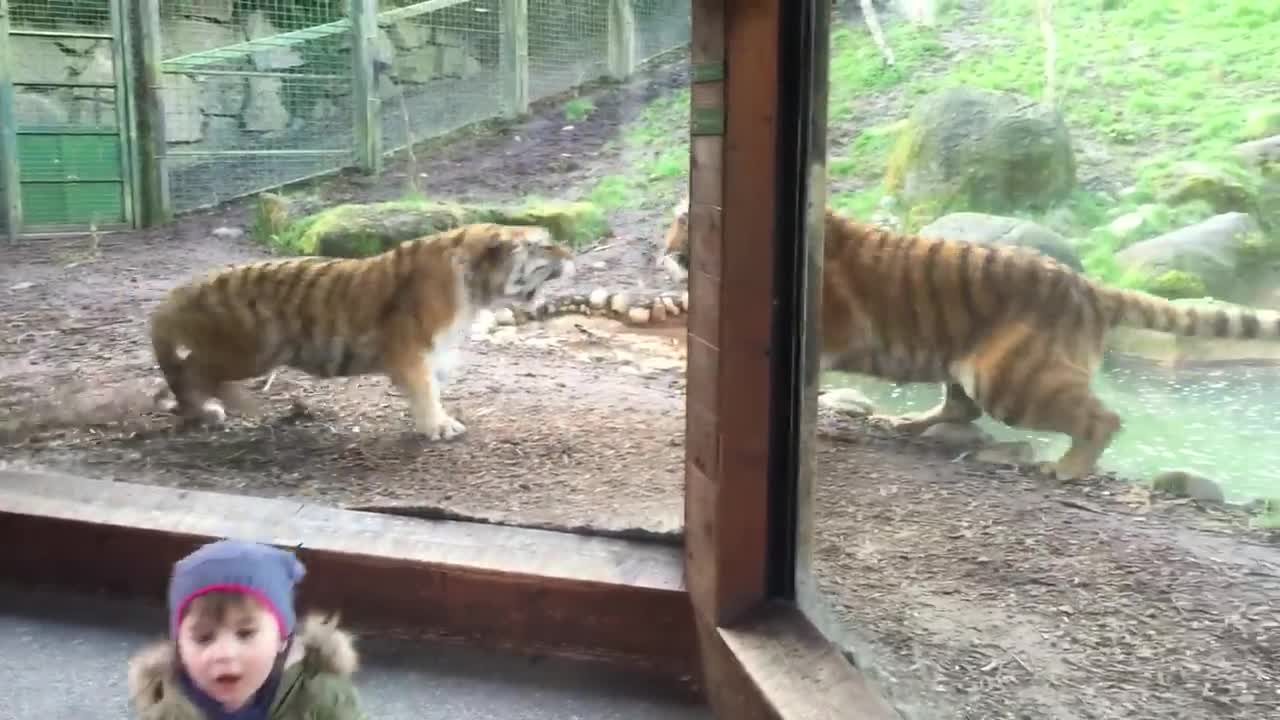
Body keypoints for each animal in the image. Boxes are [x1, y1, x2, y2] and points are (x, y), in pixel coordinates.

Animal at [149, 221, 576, 440]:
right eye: (545, 245)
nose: (572, 253)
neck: (475, 290)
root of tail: (180, 293)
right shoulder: (409, 350)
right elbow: (426, 390)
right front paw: (439, 427)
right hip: (248, 352)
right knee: (190, 371)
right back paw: (212, 408)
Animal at [660, 193, 1280, 479]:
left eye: (683, 221)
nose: (665, 252)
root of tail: (1087, 286)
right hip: (964, 365)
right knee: (959, 410)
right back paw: (905, 422)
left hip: (1008, 376)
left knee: (1102, 417)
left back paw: (1065, 469)